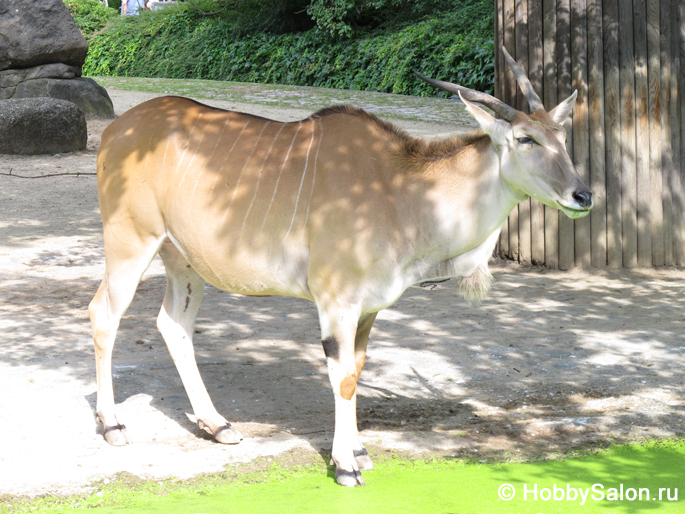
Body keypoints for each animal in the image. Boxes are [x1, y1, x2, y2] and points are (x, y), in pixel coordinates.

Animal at [88, 47, 592, 484]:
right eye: (525, 138)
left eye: (564, 139)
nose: (583, 196)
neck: (397, 190)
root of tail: (116, 131)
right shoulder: (335, 302)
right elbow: (343, 378)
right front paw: (345, 465)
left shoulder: (368, 309)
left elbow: (358, 370)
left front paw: (358, 451)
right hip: (129, 243)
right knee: (104, 315)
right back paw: (112, 426)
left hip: (184, 262)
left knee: (173, 325)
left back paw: (217, 425)